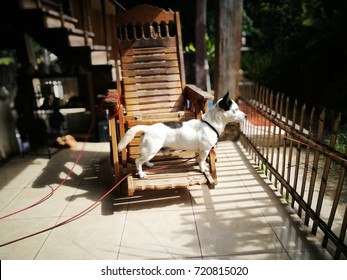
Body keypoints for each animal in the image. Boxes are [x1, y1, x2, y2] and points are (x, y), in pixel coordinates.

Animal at [118, 93, 246, 178]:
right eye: (236, 110)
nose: (246, 116)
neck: (210, 123)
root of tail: (148, 128)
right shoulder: (205, 150)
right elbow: (202, 161)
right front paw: (203, 169)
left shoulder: (200, 151)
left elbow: (200, 160)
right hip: (151, 150)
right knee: (138, 161)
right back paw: (141, 174)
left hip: (150, 152)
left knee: (143, 160)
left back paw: (148, 164)